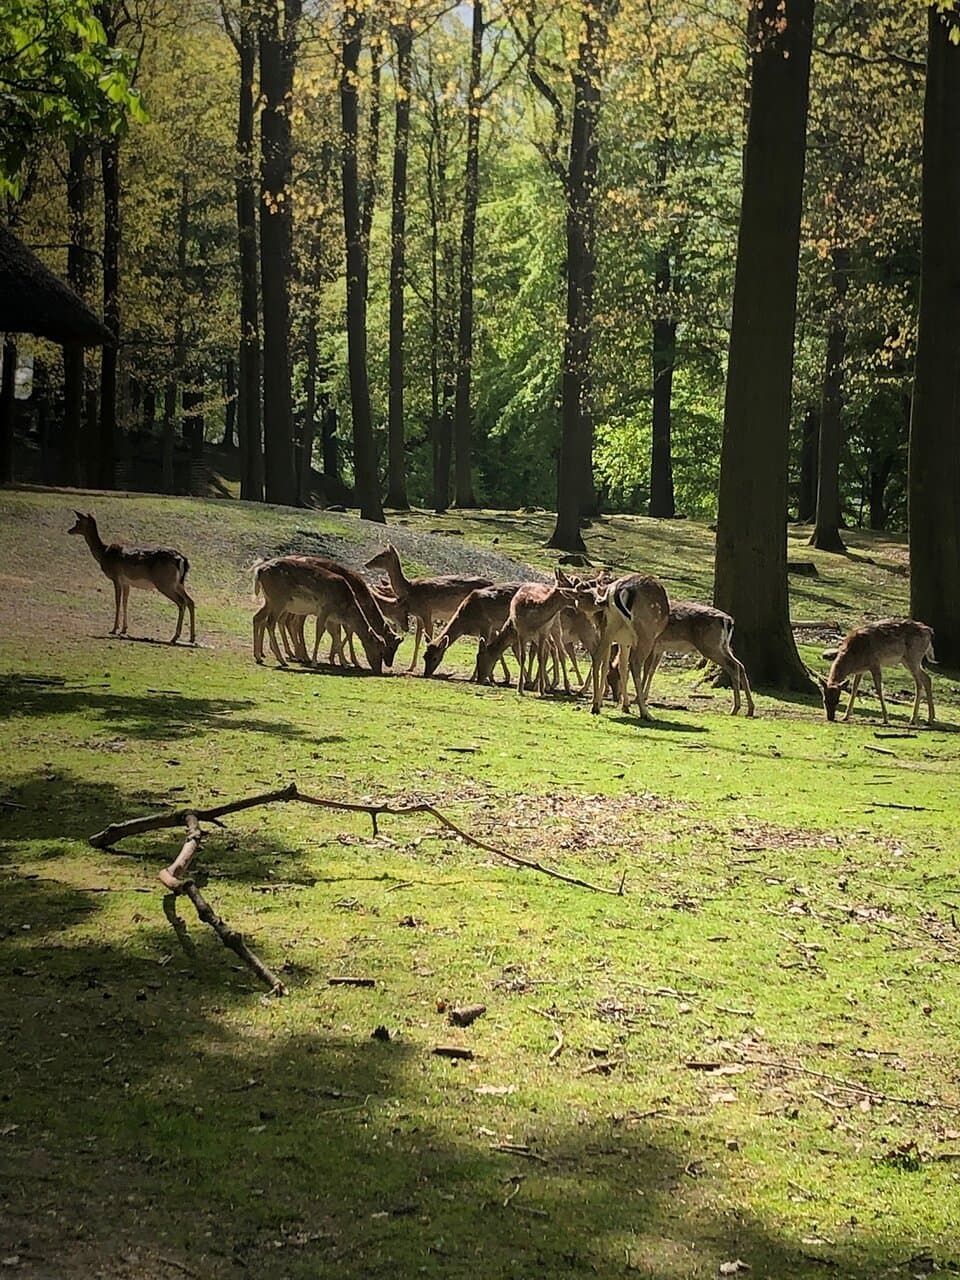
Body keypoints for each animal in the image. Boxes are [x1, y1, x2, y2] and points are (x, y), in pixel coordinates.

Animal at [68, 510, 195, 644]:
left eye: (77, 521)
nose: (69, 530)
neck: (103, 554)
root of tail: (182, 559)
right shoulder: (126, 582)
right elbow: (125, 601)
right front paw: (124, 629)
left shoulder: (116, 577)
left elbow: (117, 601)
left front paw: (114, 629)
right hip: (178, 583)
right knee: (190, 601)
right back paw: (191, 637)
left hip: (165, 583)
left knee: (182, 602)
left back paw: (175, 637)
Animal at [253, 558, 399, 674]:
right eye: (381, 650)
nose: (380, 670)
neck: (346, 607)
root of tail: (259, 570)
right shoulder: (325, 609)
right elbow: (320, 633)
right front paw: (315, 662)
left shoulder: (333, 619)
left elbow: (337, 635)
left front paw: (343, 663)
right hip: (279, 599)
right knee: (271, 622)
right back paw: (283, 659)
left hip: (269, 600)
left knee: (258, 617)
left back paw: (259, 656)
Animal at [564, 570, 670, 717]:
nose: (597, 602)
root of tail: (620, 590)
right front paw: (626, 704)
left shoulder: (624, 640)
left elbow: (620, 666)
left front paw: (623, 705)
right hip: (646, 633)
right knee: (635, 663)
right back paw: (645, 712)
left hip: (610, 628)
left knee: (597, 657)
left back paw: (595, 706)